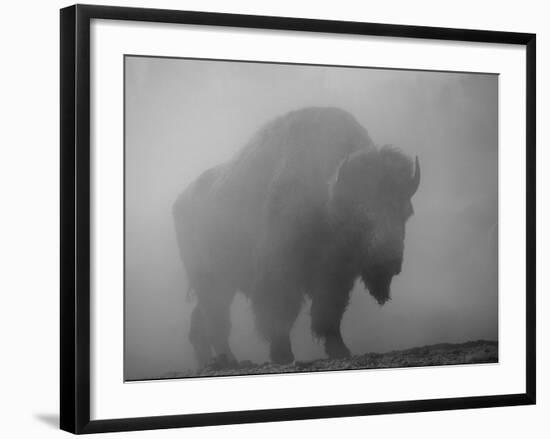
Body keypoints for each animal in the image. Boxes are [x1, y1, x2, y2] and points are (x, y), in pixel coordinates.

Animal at [175, 107, 420, 368]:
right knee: (216, 321)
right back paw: (230, 360)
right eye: (361, 212)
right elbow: (280, 316)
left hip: (220, 284)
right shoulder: (280, 274)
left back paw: (211, 362)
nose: (389, 261)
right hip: (212, 281)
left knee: (201, 322)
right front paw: (282, 355)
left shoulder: (335, 277)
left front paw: (340, 350)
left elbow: (328, 314)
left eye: (406, 211)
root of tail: (180, 202)